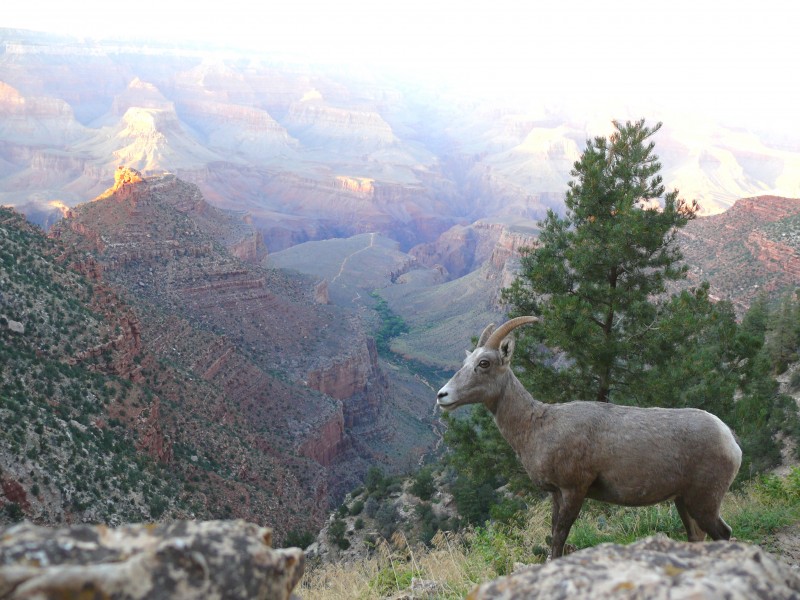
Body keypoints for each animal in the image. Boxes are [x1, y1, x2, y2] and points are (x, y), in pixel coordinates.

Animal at [438, 316, 744, 560]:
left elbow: (560, 536)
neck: (537, 426)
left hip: (704, 501)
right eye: (467, 361)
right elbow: (554, 533)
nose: (443, 396)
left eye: (484, 363)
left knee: (723, 533)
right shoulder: (557, 494)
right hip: (685, 502)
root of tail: (729, 439)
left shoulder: (575, 489)